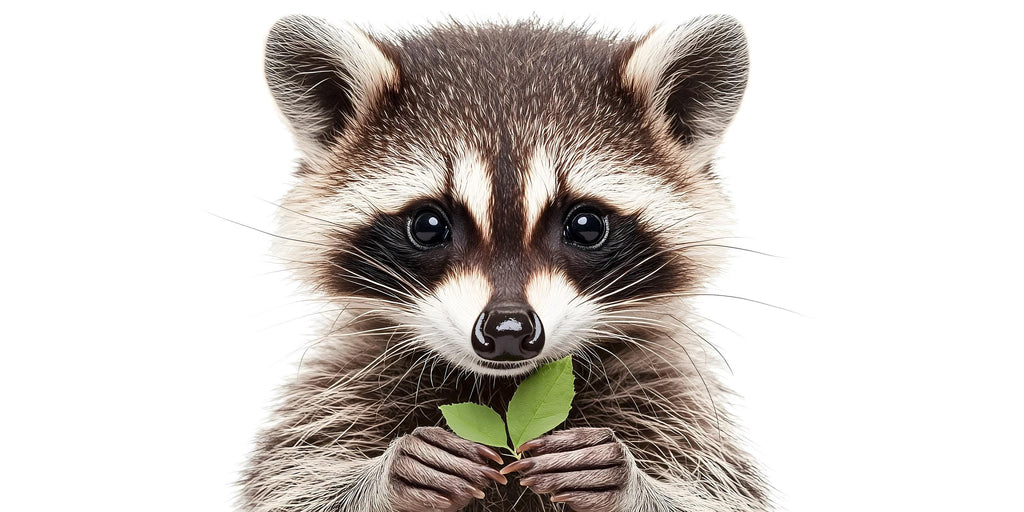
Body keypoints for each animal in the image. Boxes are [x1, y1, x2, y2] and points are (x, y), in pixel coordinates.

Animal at [240, 14, 768, 512]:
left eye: (586, 226)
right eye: (428, 226)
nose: (508, 329)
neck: (501, 386)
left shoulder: (673, 399)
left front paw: (632, 484)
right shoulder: (336, 390)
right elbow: (287, 486)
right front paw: (383, 478)